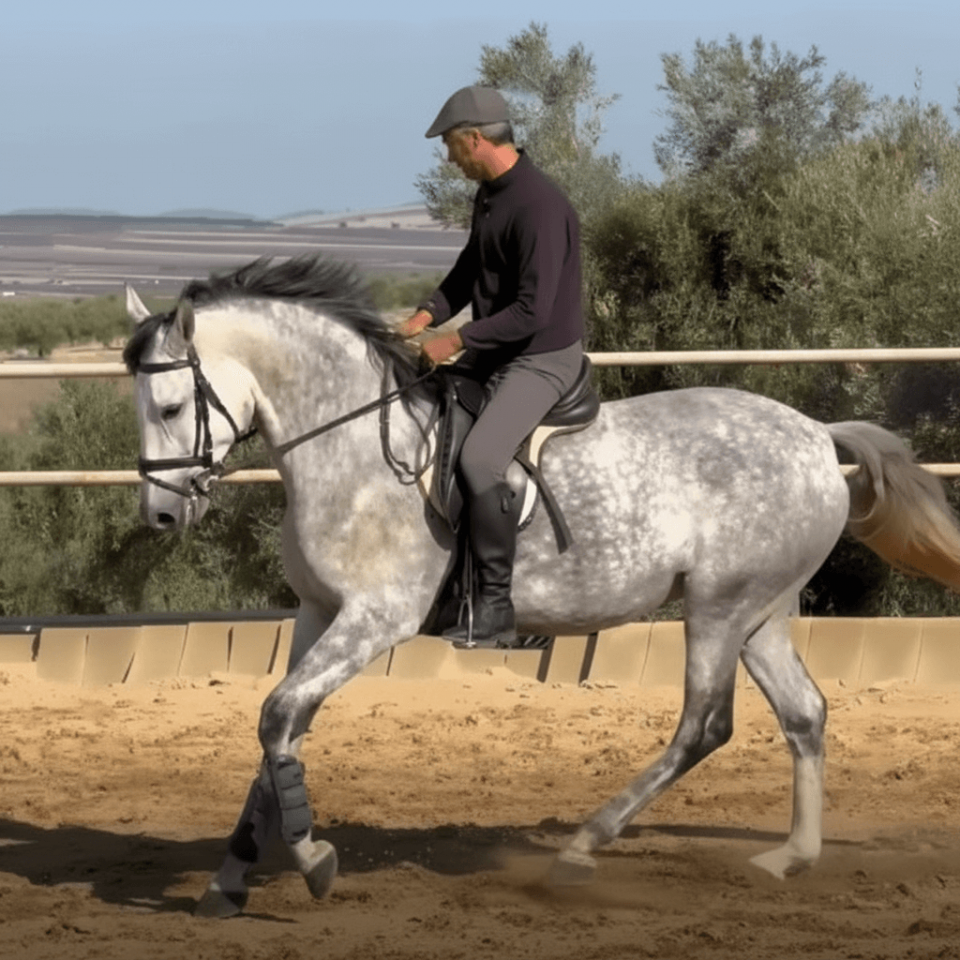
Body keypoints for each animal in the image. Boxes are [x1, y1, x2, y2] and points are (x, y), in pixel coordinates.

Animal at [124, 255, 960, 917]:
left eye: (171, 406)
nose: (162, 515)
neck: (353, 445)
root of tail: (817, 436)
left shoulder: (374, 618)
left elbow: (276, 717)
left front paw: (313, 863)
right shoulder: (316, 614)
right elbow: (278, 737)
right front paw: (228, 881)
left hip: (720, 606)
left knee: (704, 725)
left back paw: (581, 849)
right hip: (761, 611)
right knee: (804, 714)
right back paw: (789, 859)